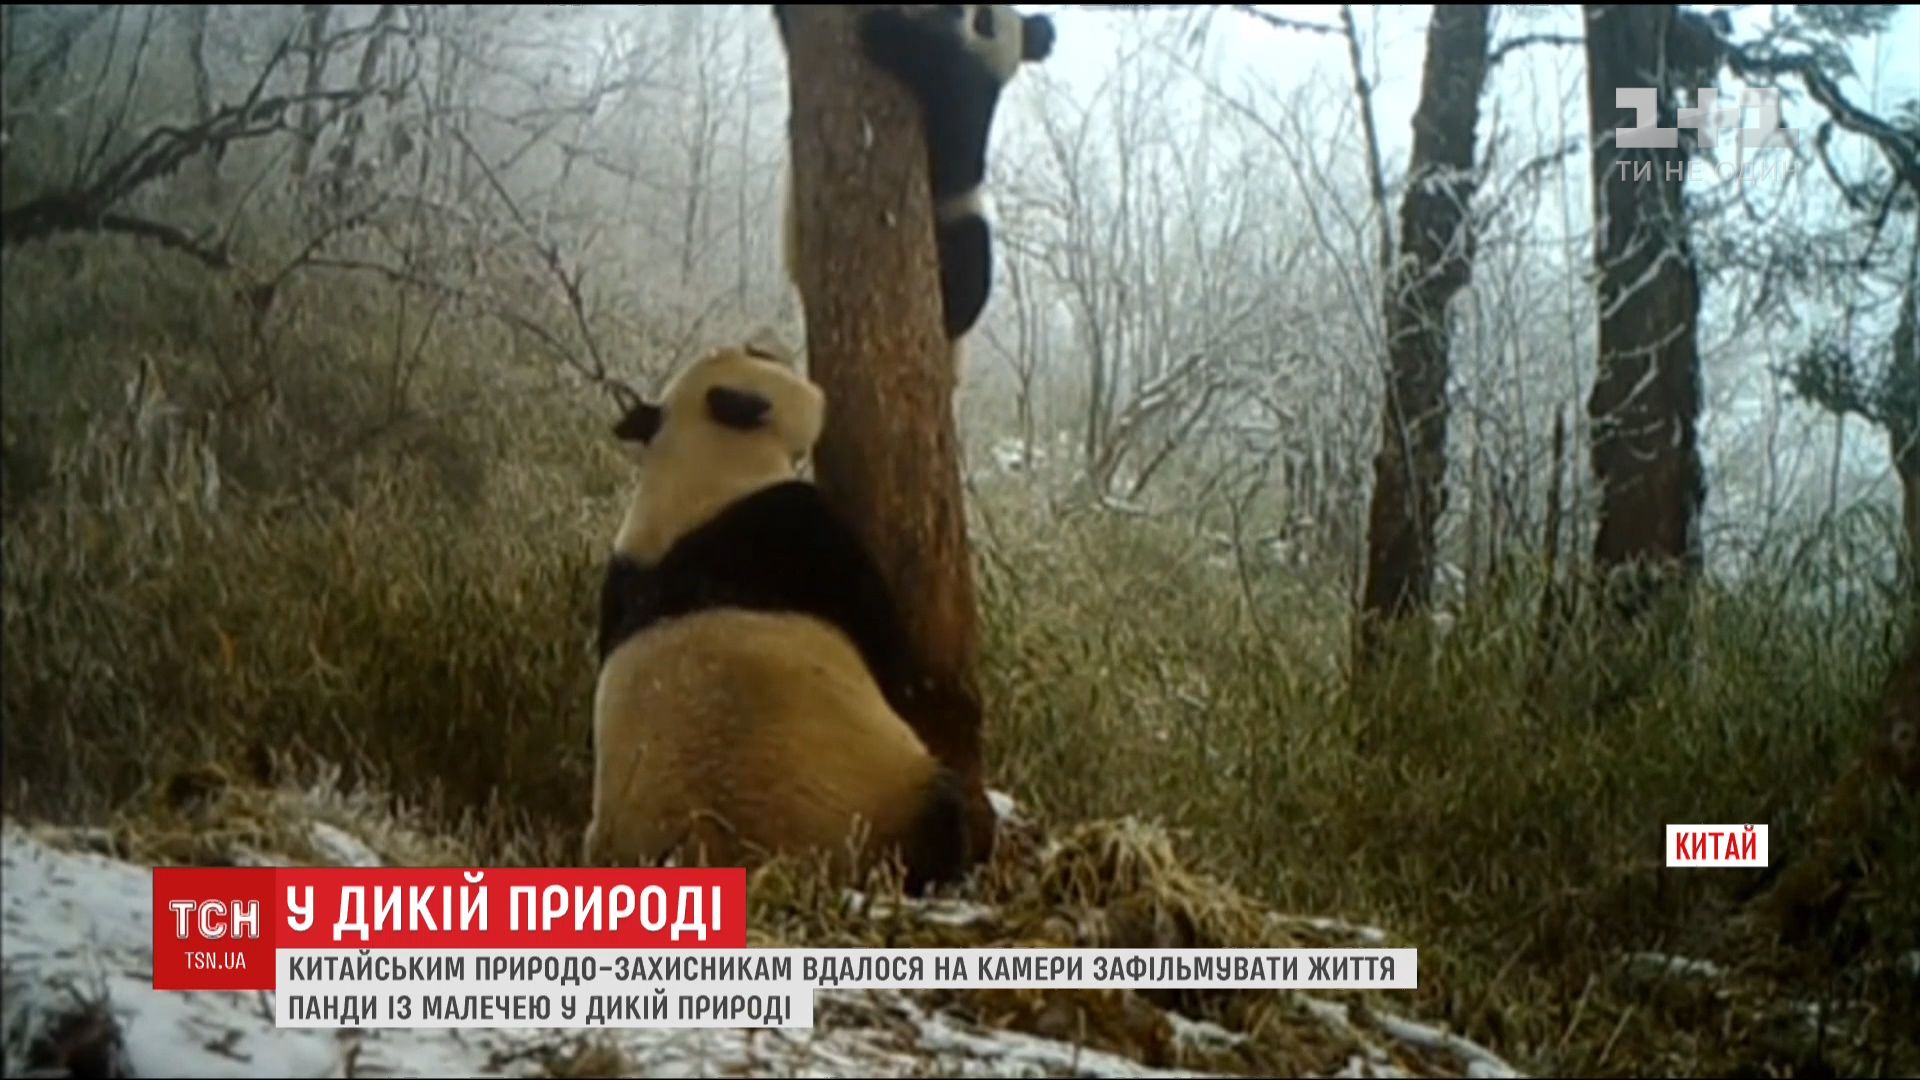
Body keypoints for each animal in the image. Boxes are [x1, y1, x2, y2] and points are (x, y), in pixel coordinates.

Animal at [583, 340, 975, 887]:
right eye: (760, 354)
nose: (770, 343)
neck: (691, 469)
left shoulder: (625, 572)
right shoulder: (793, 529)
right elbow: (884, 643)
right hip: (865, 797)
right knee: (941, 815)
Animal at [771, 3, 1059, 343]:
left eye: (984, 17)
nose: (951, 10)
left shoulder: (968, 95)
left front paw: (885, 29)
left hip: (956, 218)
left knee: (973, 254)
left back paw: (954, 311)